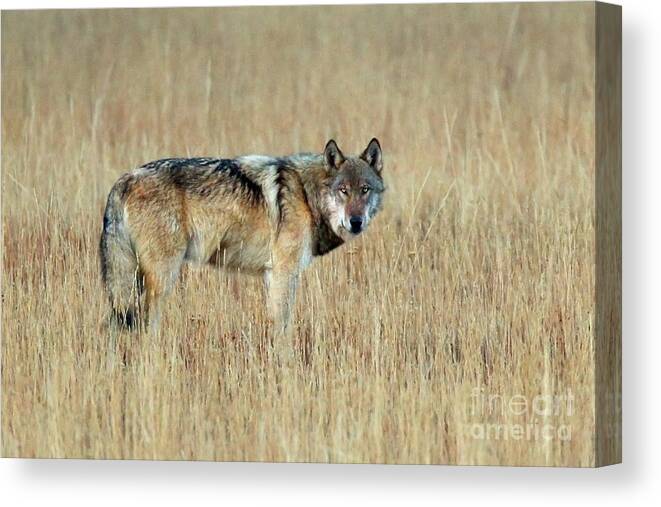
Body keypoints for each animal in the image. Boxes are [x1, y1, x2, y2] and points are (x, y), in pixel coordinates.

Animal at [100, 139, 384, 338]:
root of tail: (124, 180)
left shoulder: (272, 275)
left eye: (365, 190)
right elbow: (283, 327)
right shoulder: (284, 272)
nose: (356, 222)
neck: (305, 194)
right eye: (343, 190)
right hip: (161, 278)